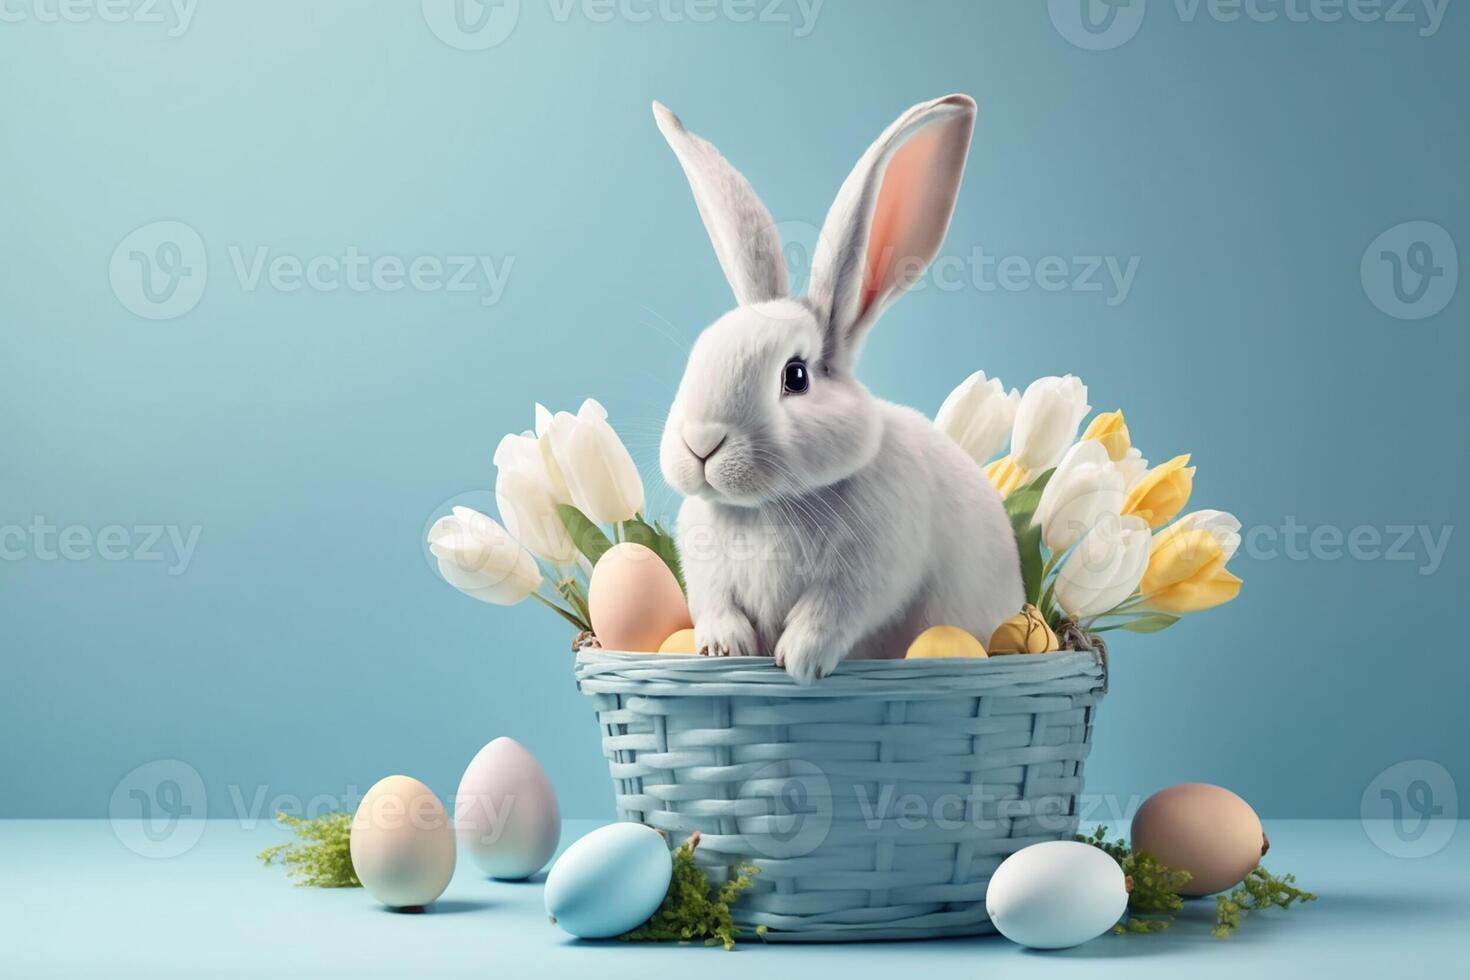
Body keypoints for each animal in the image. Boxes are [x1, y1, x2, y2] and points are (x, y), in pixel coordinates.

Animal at [655, 95, 1023, 687]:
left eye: (796, 376)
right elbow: (714, 604)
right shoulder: (705, 569)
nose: (701, 442)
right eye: (699, 352)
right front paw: (722, 648)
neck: (767, 508)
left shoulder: (869, 575)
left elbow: (828, 613)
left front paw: (798, 662)